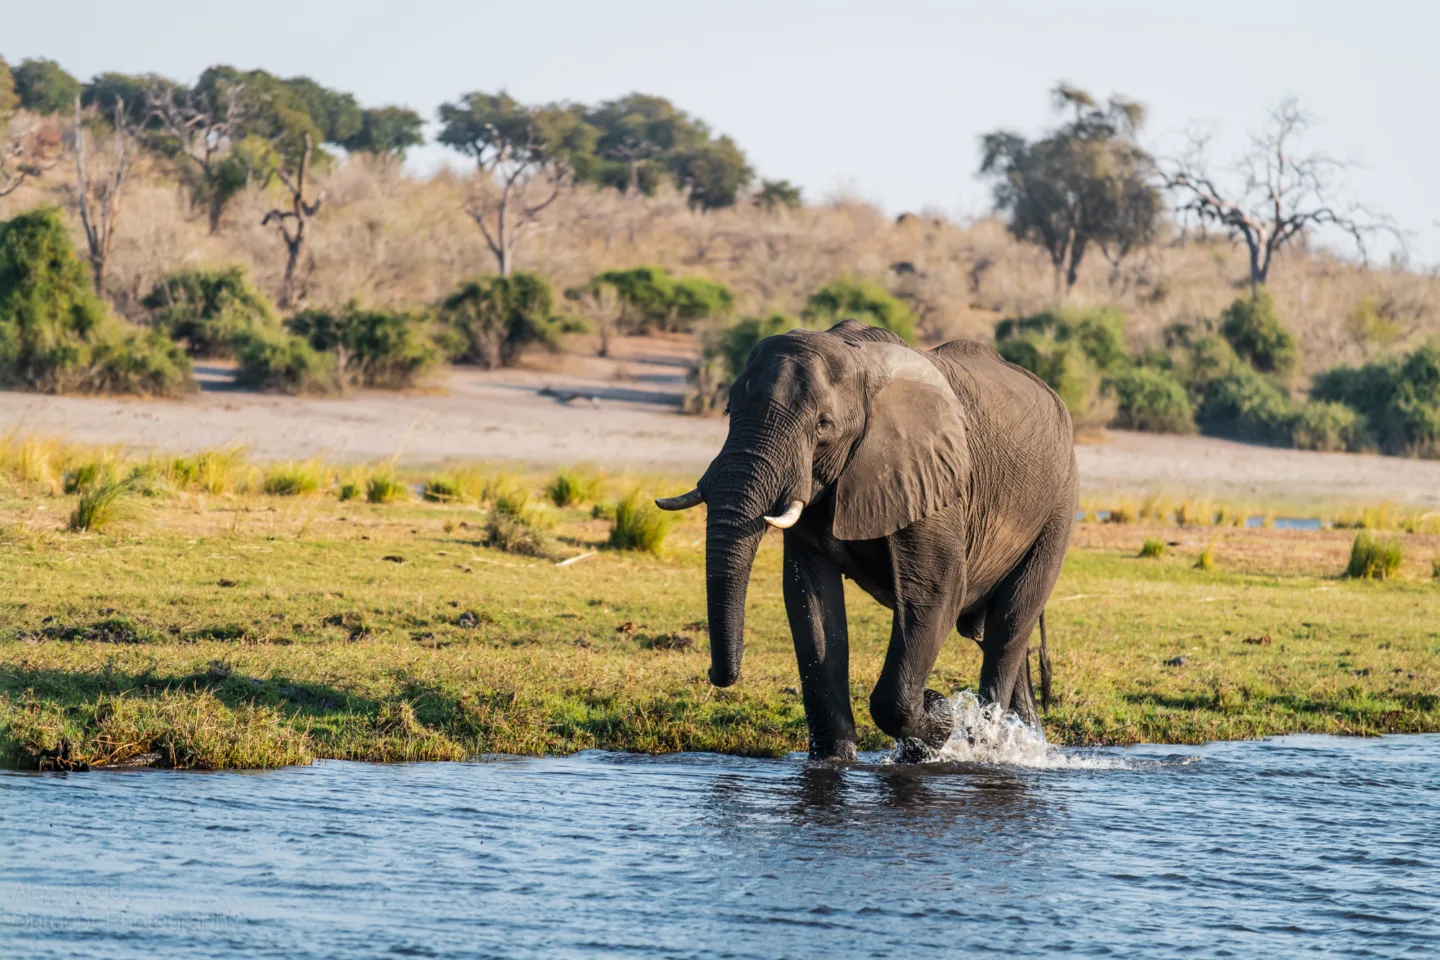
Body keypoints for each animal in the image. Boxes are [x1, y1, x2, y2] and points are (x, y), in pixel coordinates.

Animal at [657, 320, 1078, 762]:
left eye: (823, 426)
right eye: (728, 411)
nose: (714, 673)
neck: (857, 359)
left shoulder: (932, 478)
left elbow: (936, 591)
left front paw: (938, 714)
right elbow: (811, 602)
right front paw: (834, 759)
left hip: (1058, 510)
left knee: (1007, 629)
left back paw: (989, 745)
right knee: (998, 637)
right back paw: (1024, 748)